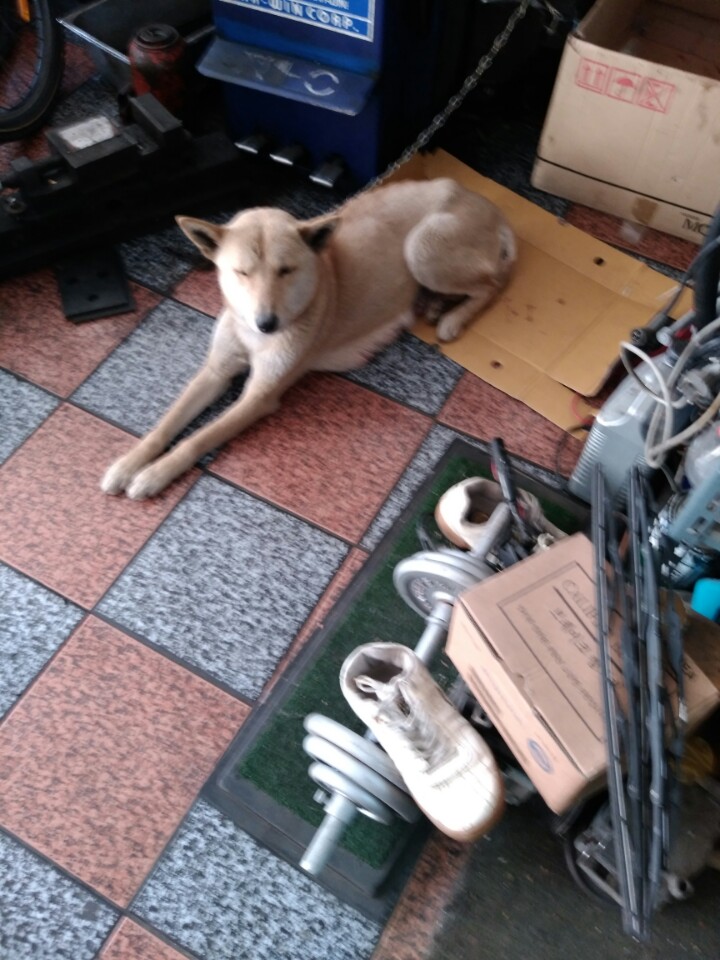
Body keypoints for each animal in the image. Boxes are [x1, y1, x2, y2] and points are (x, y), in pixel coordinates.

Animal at [102, 177, 516, 500]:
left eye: (286, 270)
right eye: (242, 272)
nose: (266, 323)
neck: (254, 336)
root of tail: (482, 201)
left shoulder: (259, 396)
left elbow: (197, 438)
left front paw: (156, 474)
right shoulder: (216, 371)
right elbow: (166, 425)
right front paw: (128, 464)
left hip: (421, 249)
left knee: (494, 283)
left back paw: (453, 318)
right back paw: (435, 304)